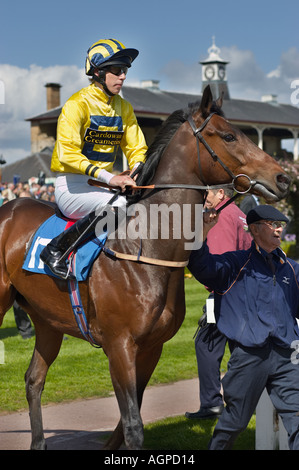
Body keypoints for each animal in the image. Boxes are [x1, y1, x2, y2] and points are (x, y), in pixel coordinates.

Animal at [0, 86, 290, 450]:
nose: (283, 177)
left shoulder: (152, 347)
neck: (148, 247)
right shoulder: (120, 345)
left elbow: (126, 421)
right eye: (229, 136)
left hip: (48, 321)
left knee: (33, 380)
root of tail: (9, 207)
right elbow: (133, 425)